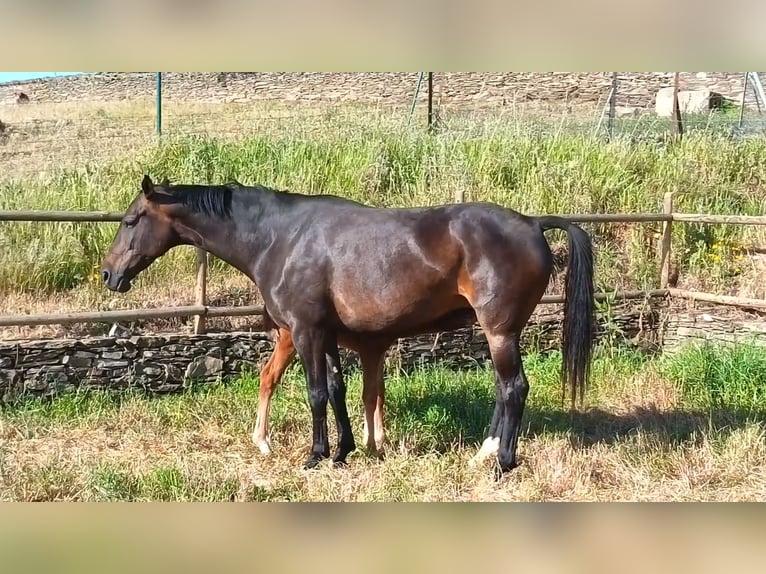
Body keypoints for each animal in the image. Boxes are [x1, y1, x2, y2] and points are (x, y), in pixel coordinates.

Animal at [101, 175, 595, 475]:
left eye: (130, 221)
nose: (108, 274)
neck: (279, 238)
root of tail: (532, 223)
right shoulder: (326, 334)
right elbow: (338, 389)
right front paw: (343, 451)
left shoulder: (304, 331)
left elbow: (316, 393)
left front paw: (316, 456)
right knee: (501, 388)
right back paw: (484, 453)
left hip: (500, 332)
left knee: (514, 388)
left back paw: (503, 463)